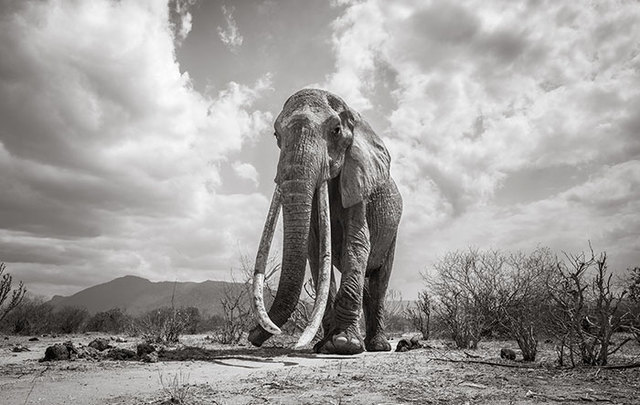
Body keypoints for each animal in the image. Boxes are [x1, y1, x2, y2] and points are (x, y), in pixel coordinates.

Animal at [248, 88, 402, 355]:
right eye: (276, 135)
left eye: (336, 131)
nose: (251, 336)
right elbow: (316, 249)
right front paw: (325, 345)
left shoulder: (358, 180)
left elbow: (357, 242)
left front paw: (344, 344)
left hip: (393, 231)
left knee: (380, 280)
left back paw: (378, 346)